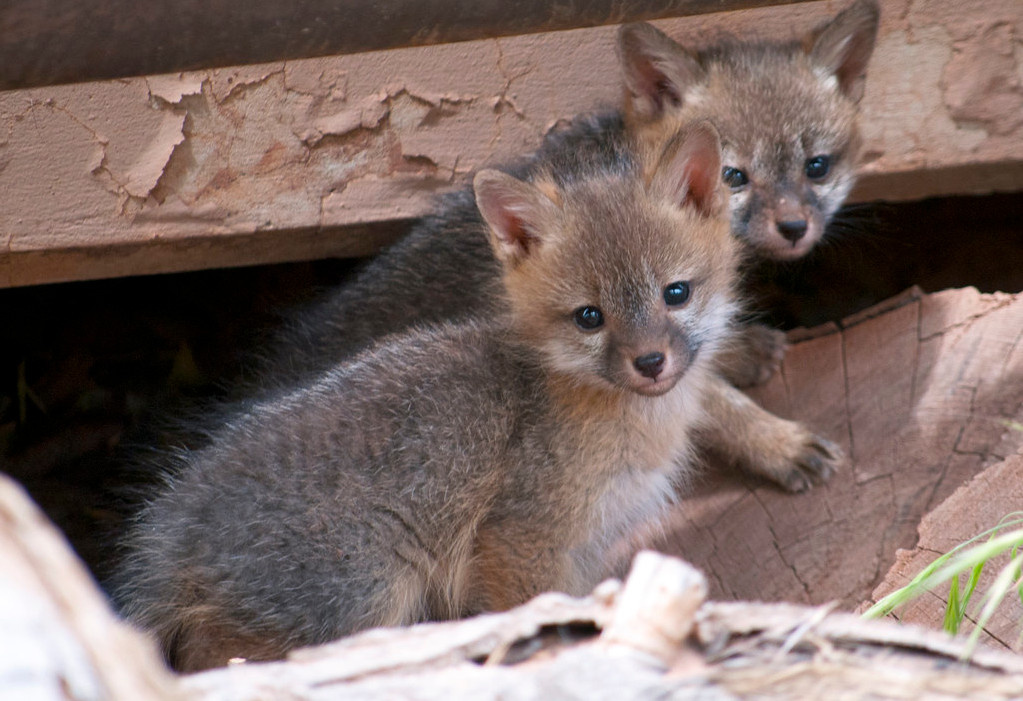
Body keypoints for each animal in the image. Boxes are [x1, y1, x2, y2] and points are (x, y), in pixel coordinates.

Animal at [118, 123, 748, 671]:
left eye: (676, 293)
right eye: (589, 317)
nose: (651, 363)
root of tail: (176, 516)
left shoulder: (588, 547)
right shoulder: (521, 538)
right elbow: (537, 615)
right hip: (369, 594)